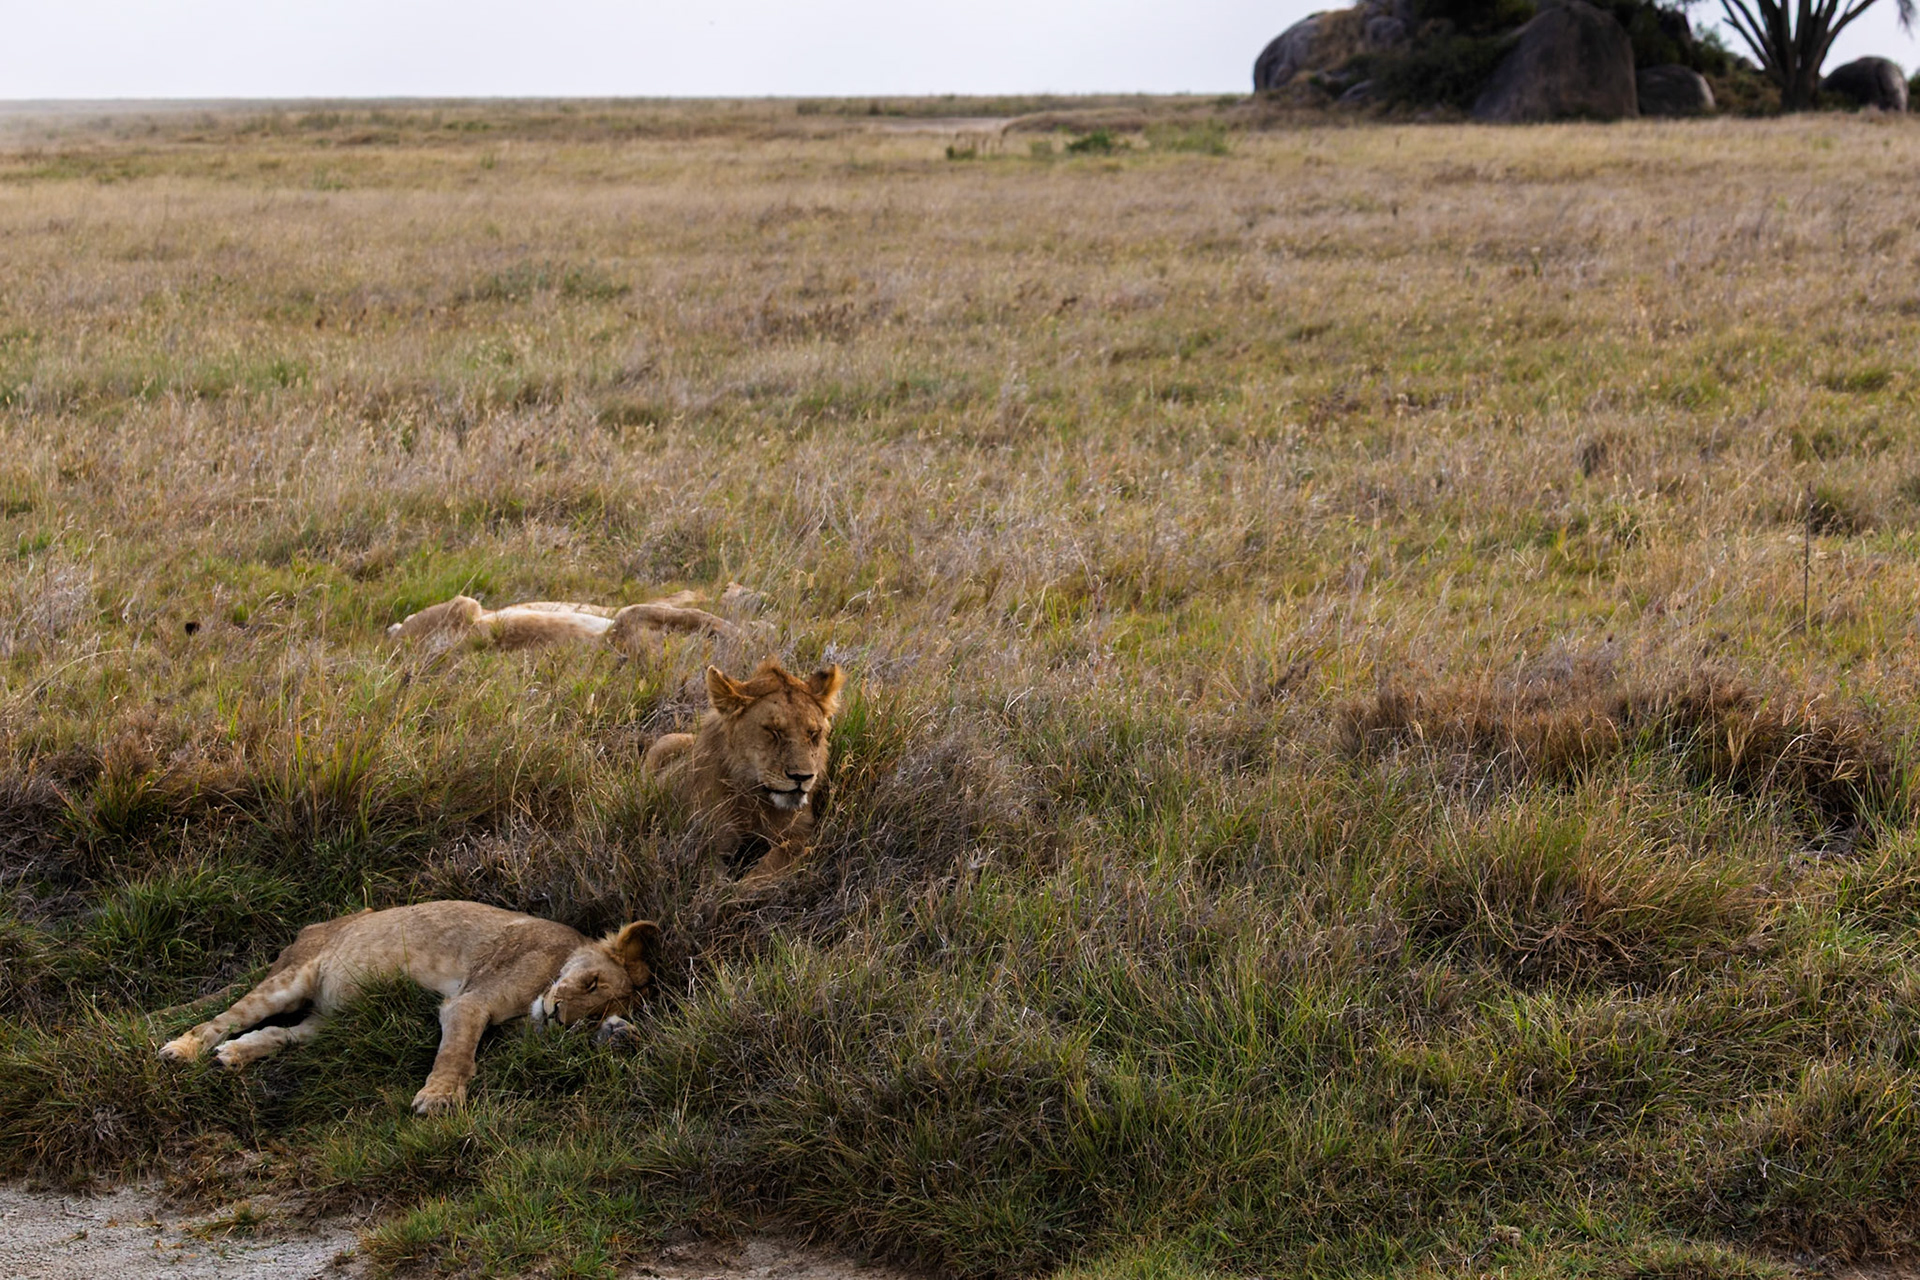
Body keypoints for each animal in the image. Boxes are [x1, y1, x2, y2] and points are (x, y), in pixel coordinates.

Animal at [157, 902, 660, 1115]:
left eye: (590, 1017)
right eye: (590, 981)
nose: (558, 1016)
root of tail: (311, 927)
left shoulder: (520, 1034)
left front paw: (620, 1034)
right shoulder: (469, 1001)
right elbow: (456, 1054)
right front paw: (438, 1099)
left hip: (328, 1023)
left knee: (280, 1034)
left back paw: (232, 1057)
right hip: (289, 979)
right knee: (222, 1020)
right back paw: (182, 1051)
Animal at [644, 658, 845, 882]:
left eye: (813, 733)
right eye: (773, 731)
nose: (802, 777)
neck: (754, 796)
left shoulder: (801, 833)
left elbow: (775, 861)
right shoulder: (707, 834)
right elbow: (711, 874)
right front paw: (727, 887)